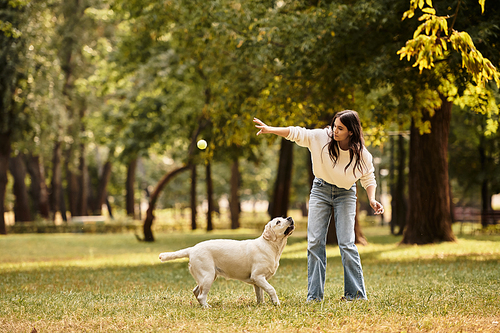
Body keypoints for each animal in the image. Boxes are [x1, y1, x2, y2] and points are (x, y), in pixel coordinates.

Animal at [158, 215, 294, 306]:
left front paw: (262, 305)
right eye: (278, 222)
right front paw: (276, 303)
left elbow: (260, 295)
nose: (290, 217)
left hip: (207, 277)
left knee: (196, 291)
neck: (270, 245)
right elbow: (271, 289)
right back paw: (207, 307)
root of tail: (192, 249)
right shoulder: (258, 276)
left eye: (283, 217)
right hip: (207, 276)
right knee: (201, 296)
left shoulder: (258, 281)